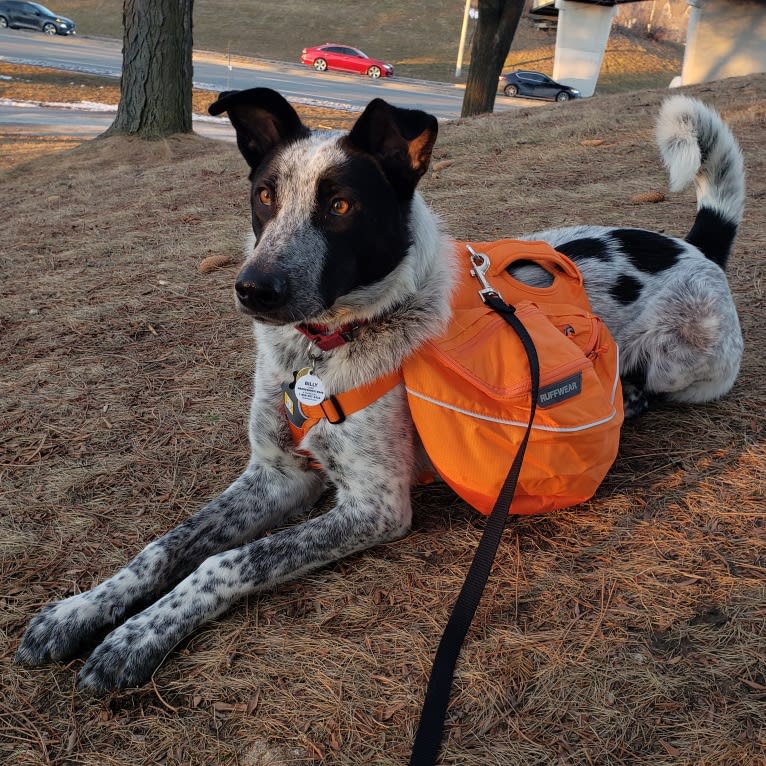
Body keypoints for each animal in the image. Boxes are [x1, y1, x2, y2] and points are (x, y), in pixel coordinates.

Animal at [16, 87, 752, 692]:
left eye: (341, 205)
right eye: (265, 196)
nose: (253, 288)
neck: (322, 350)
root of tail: (697, 248)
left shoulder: (373, 506)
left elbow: (227, 562)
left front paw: (135, 638)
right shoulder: (276, 474)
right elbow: (167, 546)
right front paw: (80, 611)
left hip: (686, 358)